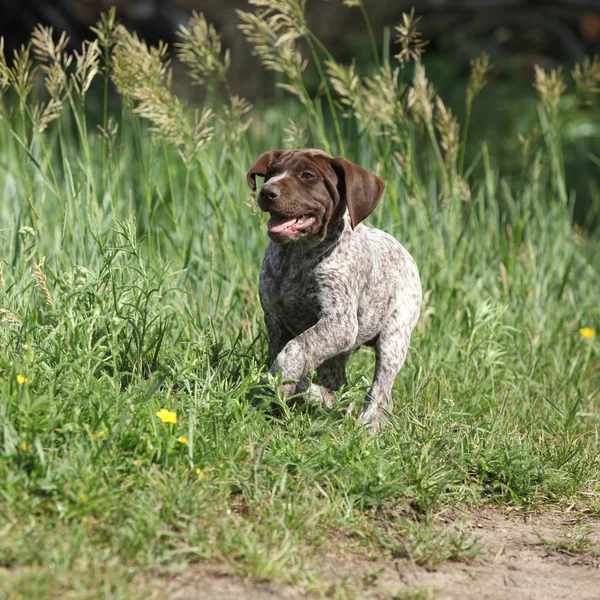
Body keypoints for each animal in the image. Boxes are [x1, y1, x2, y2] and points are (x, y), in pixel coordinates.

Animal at [248, 149, 422, 432]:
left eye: (307, 176)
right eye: (272, 172)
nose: (267, 192)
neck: (296, 256)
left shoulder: (340, 322)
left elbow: (296, 348)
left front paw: (279, 380)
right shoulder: (275, 320)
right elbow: (291, 358)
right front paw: (291, 391)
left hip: (394, 339)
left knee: (380, 393)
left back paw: (367, 427)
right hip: (337, 355)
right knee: (342, 387)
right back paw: (332, 404)